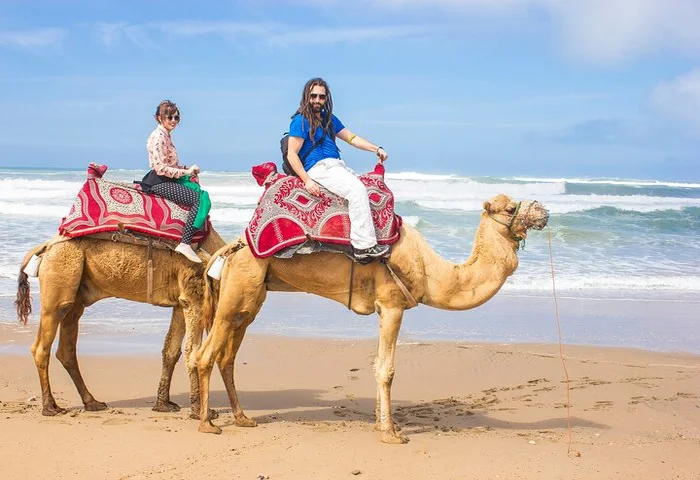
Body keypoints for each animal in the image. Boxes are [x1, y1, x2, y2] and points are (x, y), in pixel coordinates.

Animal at [16, 227, 224, 418]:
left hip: (76, 296)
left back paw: (92, 402)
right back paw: (50, 407)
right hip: (60, 279)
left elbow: (171, 351)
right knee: (42, 345)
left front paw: (163, 405)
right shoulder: (194, 296)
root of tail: (46, 247)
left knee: (66, 347)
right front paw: (201, 411)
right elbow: (193, 352)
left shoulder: (181, 303)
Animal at [194, 194, 548, 442]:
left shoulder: (383, 308)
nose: (543, 212)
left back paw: (242, 418)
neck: (430, 270)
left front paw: (382, 424)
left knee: (227, 356)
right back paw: (207, 424)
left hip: (251, 298)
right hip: (237, 293)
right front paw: (391, 433)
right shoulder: (393, 304)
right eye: (510, 207)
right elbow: (387, 370)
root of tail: (232, 247)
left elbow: (377, 364)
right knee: (205, 355)